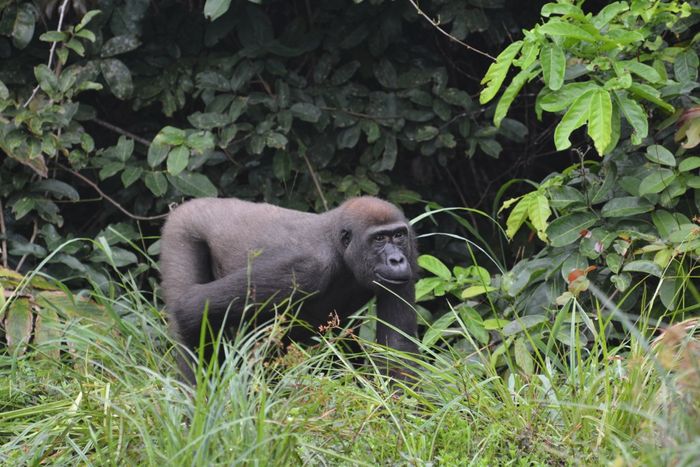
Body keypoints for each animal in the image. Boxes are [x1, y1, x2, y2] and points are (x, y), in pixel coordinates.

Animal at [160, 196, 419, 383]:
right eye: (379, 239)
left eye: (398, 236)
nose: (396, 260)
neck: (337, 246)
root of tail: (197, 203)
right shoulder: (304, 268)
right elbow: (193, 309)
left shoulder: (411, 248)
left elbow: (398, 347)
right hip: (181, 229)